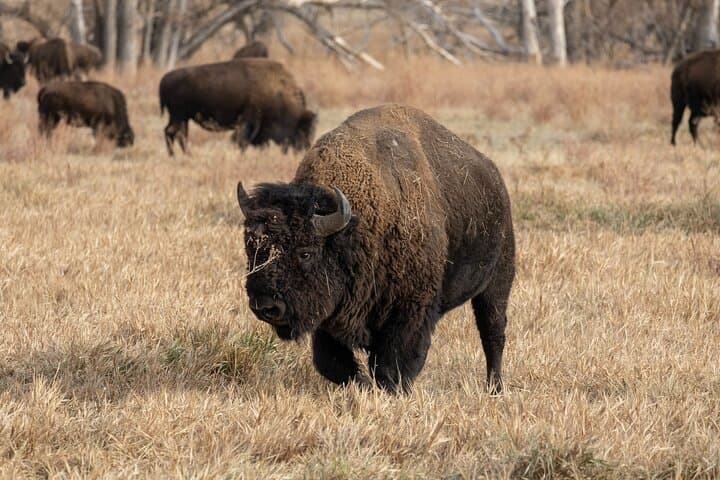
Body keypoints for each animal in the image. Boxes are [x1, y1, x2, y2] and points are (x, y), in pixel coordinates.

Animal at [159, 58, 316, 156]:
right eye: (301, 129)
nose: (304, 148)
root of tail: (164, 79)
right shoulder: (249, 120)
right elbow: (242, 140)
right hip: (179, 116)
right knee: (173, 132)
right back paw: (178, 155)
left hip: (182, 118)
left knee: (177, 134)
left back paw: (183, 155)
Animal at [237, 104, 515, 394]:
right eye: (251, 249)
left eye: (306, 252)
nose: (266, 306)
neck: (355, 227)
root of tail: (494, 177)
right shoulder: (331, 318)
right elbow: (331, 363)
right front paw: (362, 385)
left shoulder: (409, 311)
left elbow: (392, 364)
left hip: (497, 282)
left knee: (493, 333)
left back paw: (495, 387)